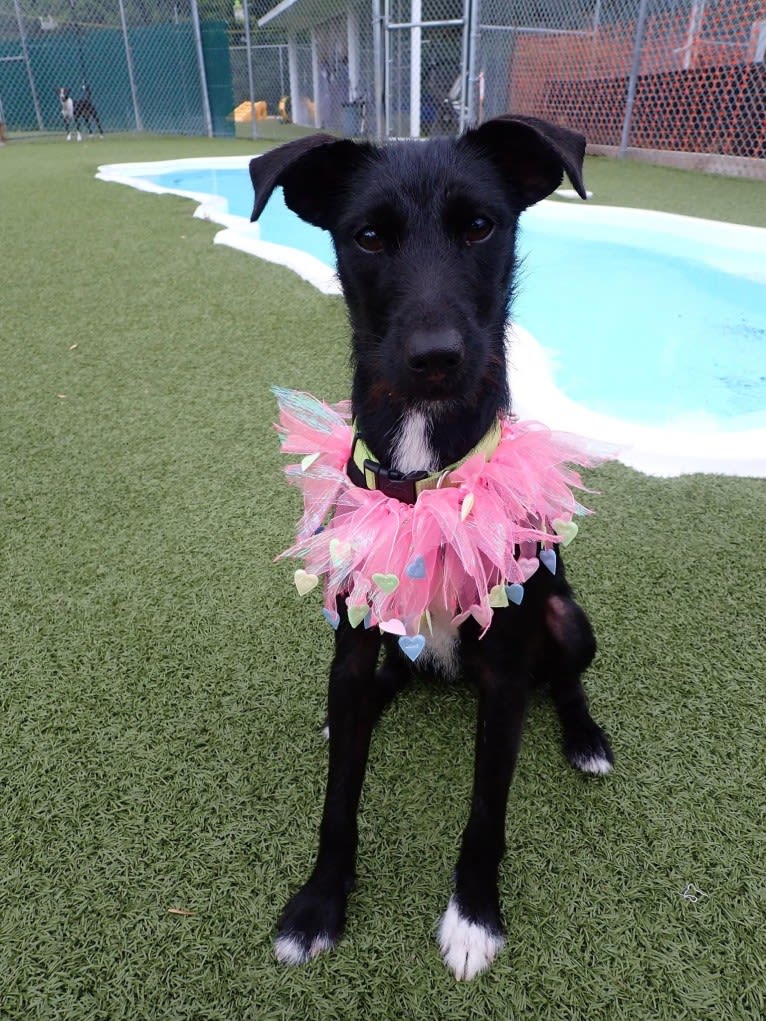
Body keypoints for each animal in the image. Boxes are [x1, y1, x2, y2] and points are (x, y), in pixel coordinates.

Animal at [249, 113, 616, 980]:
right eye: (368, 236)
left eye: (480, 225)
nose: (436, 356)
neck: (429, 475)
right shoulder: (351, 643)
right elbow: (338, 796)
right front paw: (318, 903)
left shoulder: (509, 673)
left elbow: (486, 810)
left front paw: (475, 914)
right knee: (388, 680)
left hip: (567, 617)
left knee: (568, 679)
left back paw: (584, 736)